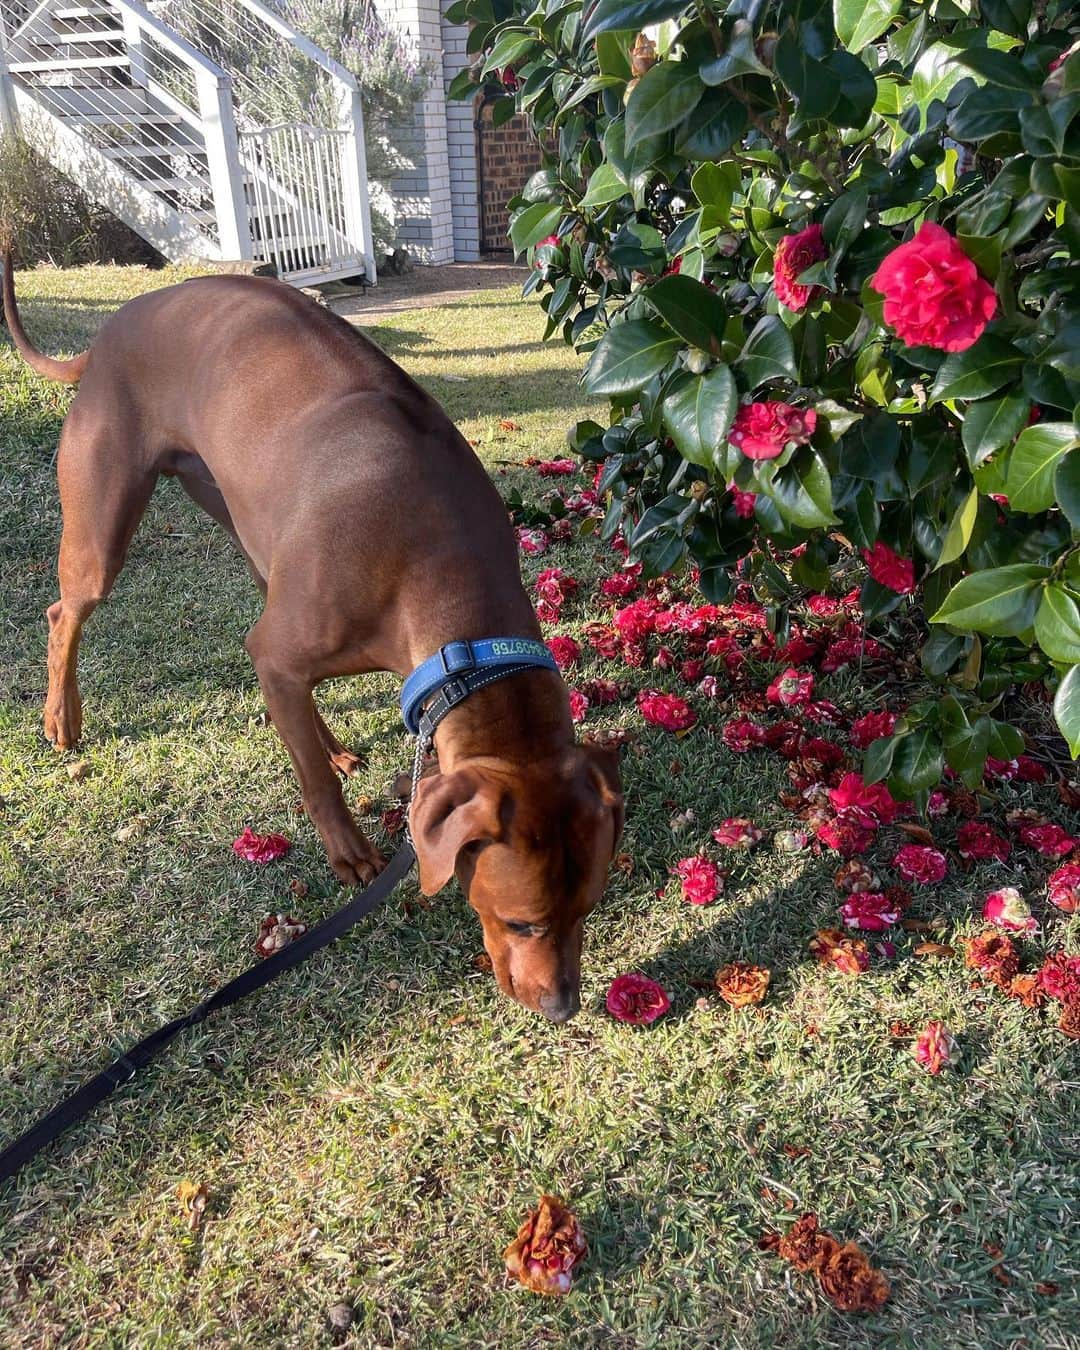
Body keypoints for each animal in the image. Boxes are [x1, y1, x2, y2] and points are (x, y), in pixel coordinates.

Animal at [2, 255, 623, 1020]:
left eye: (587, 909)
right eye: (522, 922)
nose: (563, 1007)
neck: (442, 566)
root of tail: (110, 332)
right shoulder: (280, 646)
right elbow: (310, 773)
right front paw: (348, 851)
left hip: (252, 527)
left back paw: (326, 742)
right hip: (104, 519)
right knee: (66, 611)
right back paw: (62, 718)